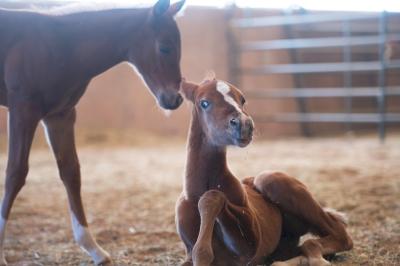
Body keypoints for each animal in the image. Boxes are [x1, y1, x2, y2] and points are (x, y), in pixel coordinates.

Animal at [0, 0, 184, 264]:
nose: (175, 99)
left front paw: (95, 250)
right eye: (165, 47)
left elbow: (71, 172)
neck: (59, 44)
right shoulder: (23, 110)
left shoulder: (60, 115)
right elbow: (15, 173)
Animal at [177, 79, 352, 266]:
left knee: (336, 236)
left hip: (269, 180)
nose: (244, 124)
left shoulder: (248, 247)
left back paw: (317, 259)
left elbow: (213, 196)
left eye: (242, 99)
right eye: (204, 103)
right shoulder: (188, 254)